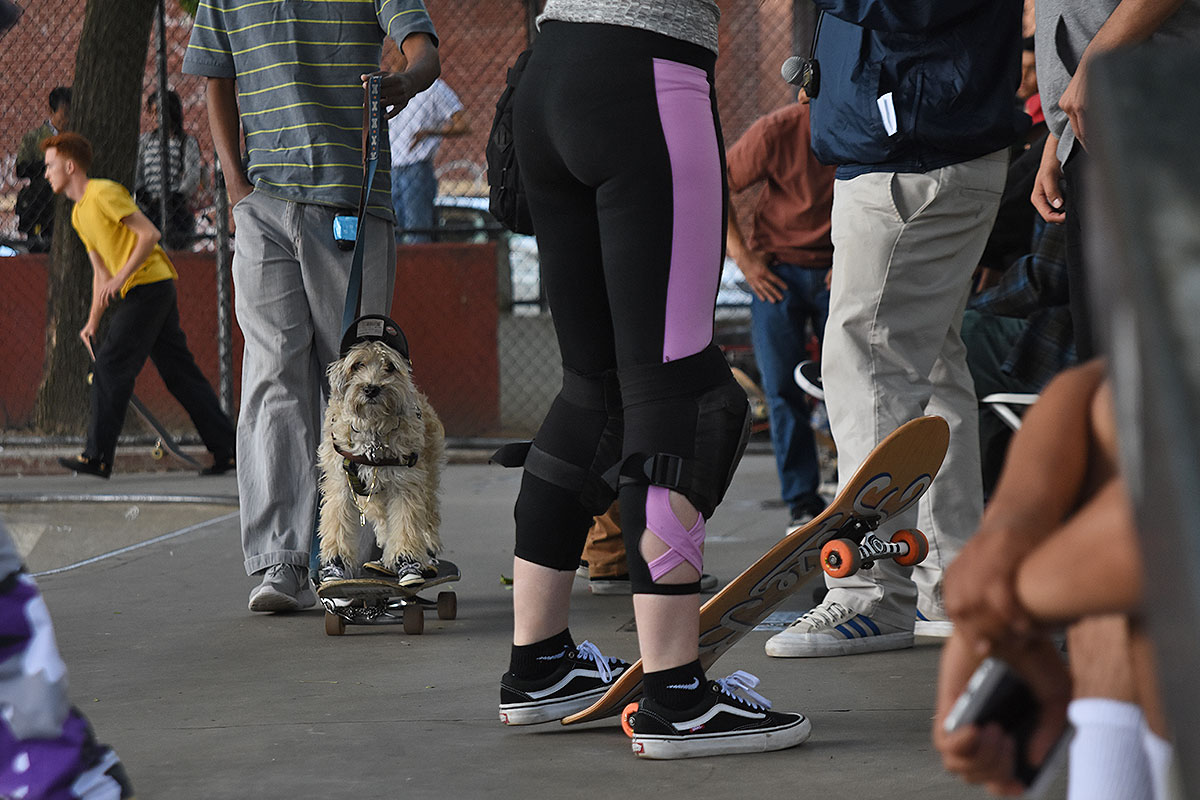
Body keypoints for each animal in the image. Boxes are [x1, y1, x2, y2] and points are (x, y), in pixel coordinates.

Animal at [319, 316, 446, 587]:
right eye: (357, 364)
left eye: (390, 366)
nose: (371, 388)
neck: (373, 432)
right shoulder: (341, 485)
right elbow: (336, 524)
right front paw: (334, 566)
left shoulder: (405, 485)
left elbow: (406, 525)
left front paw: (407, 562)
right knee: (384, 522)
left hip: (426, 478)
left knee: (427, 517)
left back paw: (425, 554)